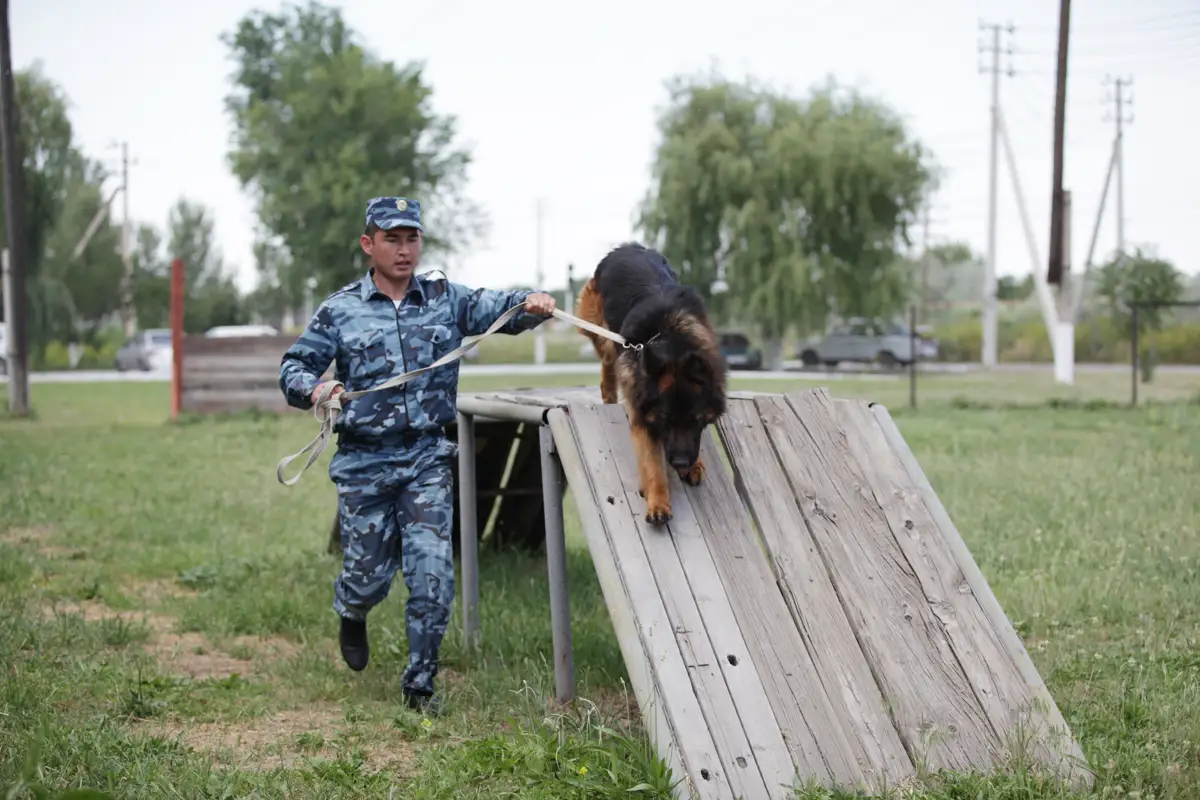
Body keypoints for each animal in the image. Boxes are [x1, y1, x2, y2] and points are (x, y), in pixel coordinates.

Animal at [573, 241, 724, 525]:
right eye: (664, 418)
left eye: (696, 419)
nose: (680, 462)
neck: (671, 338)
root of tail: (629, 246)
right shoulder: (642, 416)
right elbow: (652, 463)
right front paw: (658, 503)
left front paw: (696, 464)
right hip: (600, 329)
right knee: (607, 358)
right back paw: (608, 392)